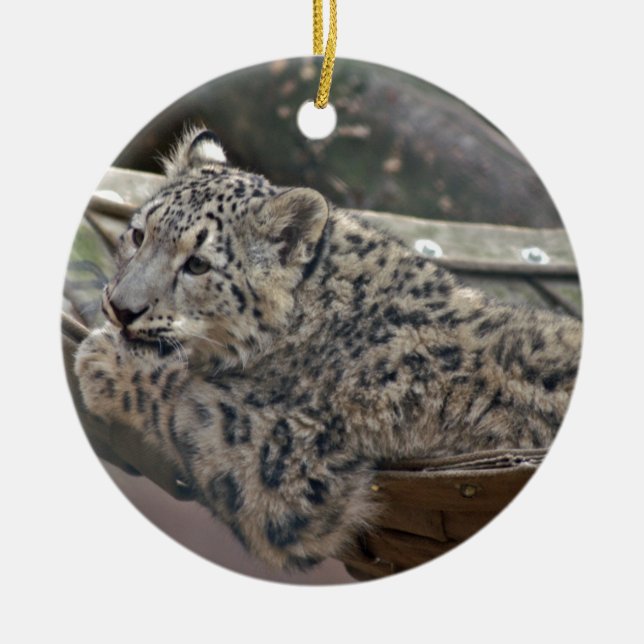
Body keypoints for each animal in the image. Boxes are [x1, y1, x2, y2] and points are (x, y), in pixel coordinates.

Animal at [75, 127, 582, 572]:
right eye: (138, 234)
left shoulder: (284, 461)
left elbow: (186, 402)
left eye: (198, 264)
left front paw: (104, 361)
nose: (121, 308)